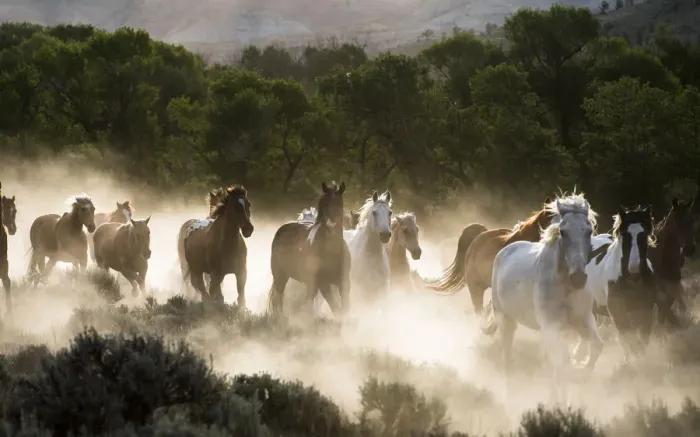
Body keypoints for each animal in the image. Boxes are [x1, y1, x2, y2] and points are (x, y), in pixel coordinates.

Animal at [268, 181, 350, 317]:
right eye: (325, 203)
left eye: (340, 202)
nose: (331, 222)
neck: (332, 252)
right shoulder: (323, 284)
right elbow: (335, 308)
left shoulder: (343, 283)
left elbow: (344, 307)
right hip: (281, 276)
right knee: (278, 298)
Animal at [481, 192, 599, 402]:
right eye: (563, 231)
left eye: (588, 230)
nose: (578, 278)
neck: (565, 287)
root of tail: (505, 250)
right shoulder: (552, 326)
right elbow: (561, 364)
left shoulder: (583, 321)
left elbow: (595, 348)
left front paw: (580, 376)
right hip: (506, 320)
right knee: (507, 359)